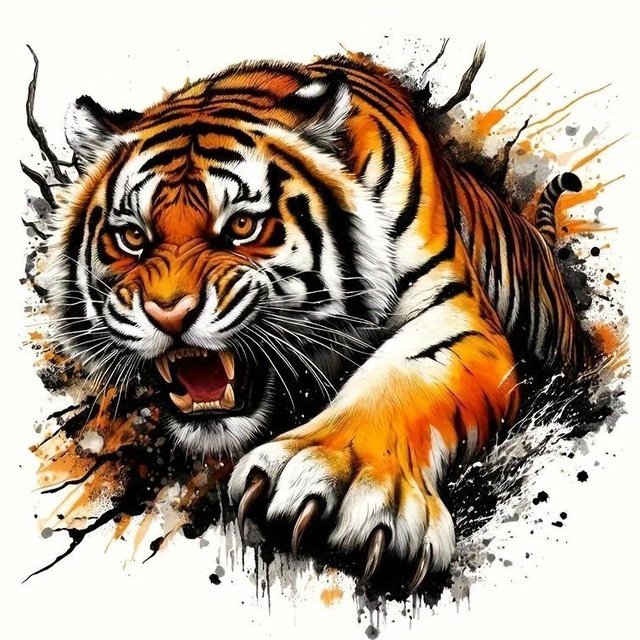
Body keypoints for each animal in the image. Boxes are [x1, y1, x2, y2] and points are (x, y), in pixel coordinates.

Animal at [50, 53, 586, 591]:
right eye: (132, 236)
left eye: (243, 226)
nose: (169, 313)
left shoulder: (454, 312)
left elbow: (400, 377)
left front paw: (343, 477)